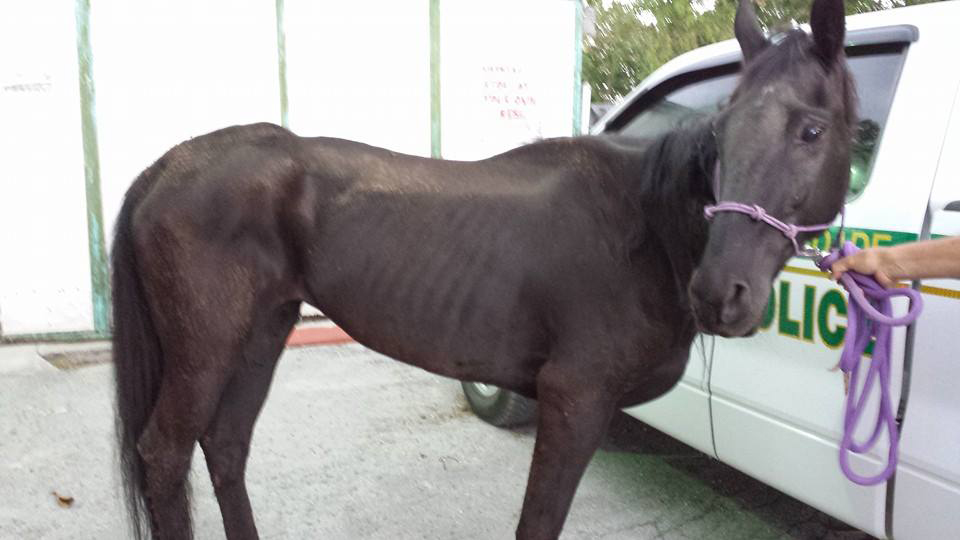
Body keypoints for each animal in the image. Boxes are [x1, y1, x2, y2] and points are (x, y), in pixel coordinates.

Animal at [111, 0, 855, 538]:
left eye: (812, 131)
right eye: (721, 133)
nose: (719, 293)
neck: (645, 229)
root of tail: (169, 164)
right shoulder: (573, 400)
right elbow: (538, 523)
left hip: (262, 333)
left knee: (226, 445)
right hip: (206, 348)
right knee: (166, 454)